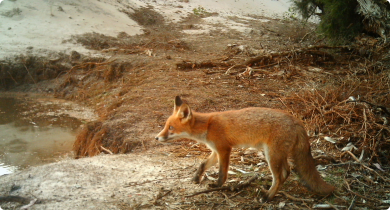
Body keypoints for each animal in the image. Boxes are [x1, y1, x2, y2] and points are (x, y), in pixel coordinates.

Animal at [155, 96, 336, 201]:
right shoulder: (215, 150)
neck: (208, 125)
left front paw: (217, 186)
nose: (156, 137)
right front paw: (196, 178)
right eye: (165, 126)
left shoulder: (224, 150)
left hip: (272, 155)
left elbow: (222, 173)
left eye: (170, 128)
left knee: (280, 176)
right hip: (277, 154)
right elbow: (202, 165)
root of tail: (296, 120)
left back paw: (268, 196)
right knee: (287, 172)